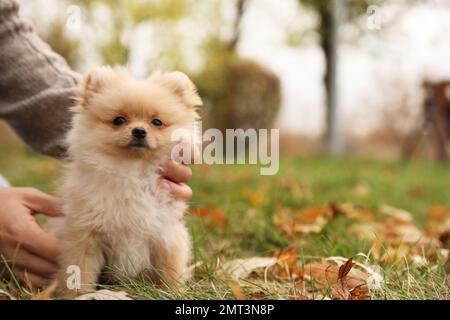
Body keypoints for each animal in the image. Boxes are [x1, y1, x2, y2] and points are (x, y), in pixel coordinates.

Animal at [54, 66, 200, 296]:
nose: (139, 130)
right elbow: (80, 272)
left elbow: (169, 273)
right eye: (119, 120)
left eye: (156, 122)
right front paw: (77, 296)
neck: (132, 171)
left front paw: (172, 293)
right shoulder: (85, 234)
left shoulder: (166, 234)